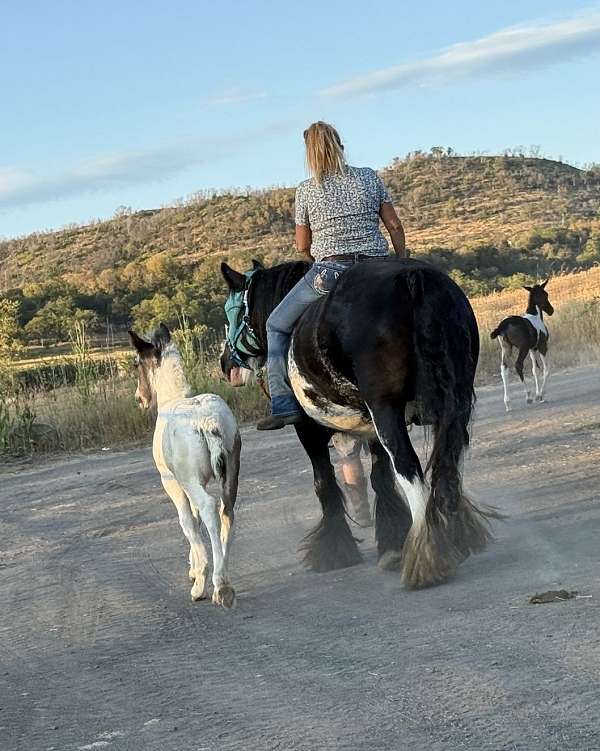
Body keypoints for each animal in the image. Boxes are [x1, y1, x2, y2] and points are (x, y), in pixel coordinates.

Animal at [129, 323, 241, 608]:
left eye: (137, 363)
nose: (140, 399)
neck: (172, 400)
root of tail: (208, 422)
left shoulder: (172, 481)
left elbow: (187, 520)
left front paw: (197, 575)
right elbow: (195, 518)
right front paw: (194, 568)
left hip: (188, 480)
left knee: (209, 508)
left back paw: (218, 586)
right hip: (231, 472)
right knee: (226, 510)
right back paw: (223, 574)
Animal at [221, 257, 495, 589]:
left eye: (232, 312)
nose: (225, 364)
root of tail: (413, 277)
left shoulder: (308, 429)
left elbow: (324, 483)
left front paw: (334, 550)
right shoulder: (371, 427)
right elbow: (380, 477)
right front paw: (391, 542)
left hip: (386, 409)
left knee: (409, 467)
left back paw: (427, 555)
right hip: (457, 399)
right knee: (448, 462)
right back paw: (453, 536)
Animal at [490, 281, 553, 412]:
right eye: (545, 294)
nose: (551, 310)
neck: (535, 316)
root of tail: (503, 325)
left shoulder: (532, 349)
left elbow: (535, 370)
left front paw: (538, 395)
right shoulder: (542, 346)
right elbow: (546, 369)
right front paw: (541, 395)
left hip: (506, 348)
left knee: (504, 368)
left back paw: (508, 403)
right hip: (522, 349)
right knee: (518, 365)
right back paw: (528, 396)